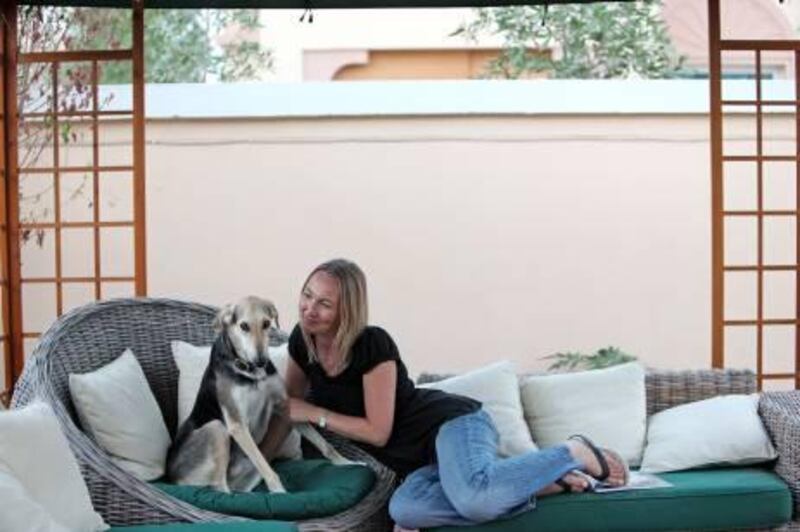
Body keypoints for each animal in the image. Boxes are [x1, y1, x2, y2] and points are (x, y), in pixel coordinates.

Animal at [167, 296, 354, 490]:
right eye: (244, 326)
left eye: (266, 323)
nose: (261, 361)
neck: (250, 372)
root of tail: (172, 478)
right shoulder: (238, 425)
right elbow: (267, 470)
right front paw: (279, 491)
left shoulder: (285, 406)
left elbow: (324, 444)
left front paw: (346, 462)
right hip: (216, 428)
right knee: (220, 487)